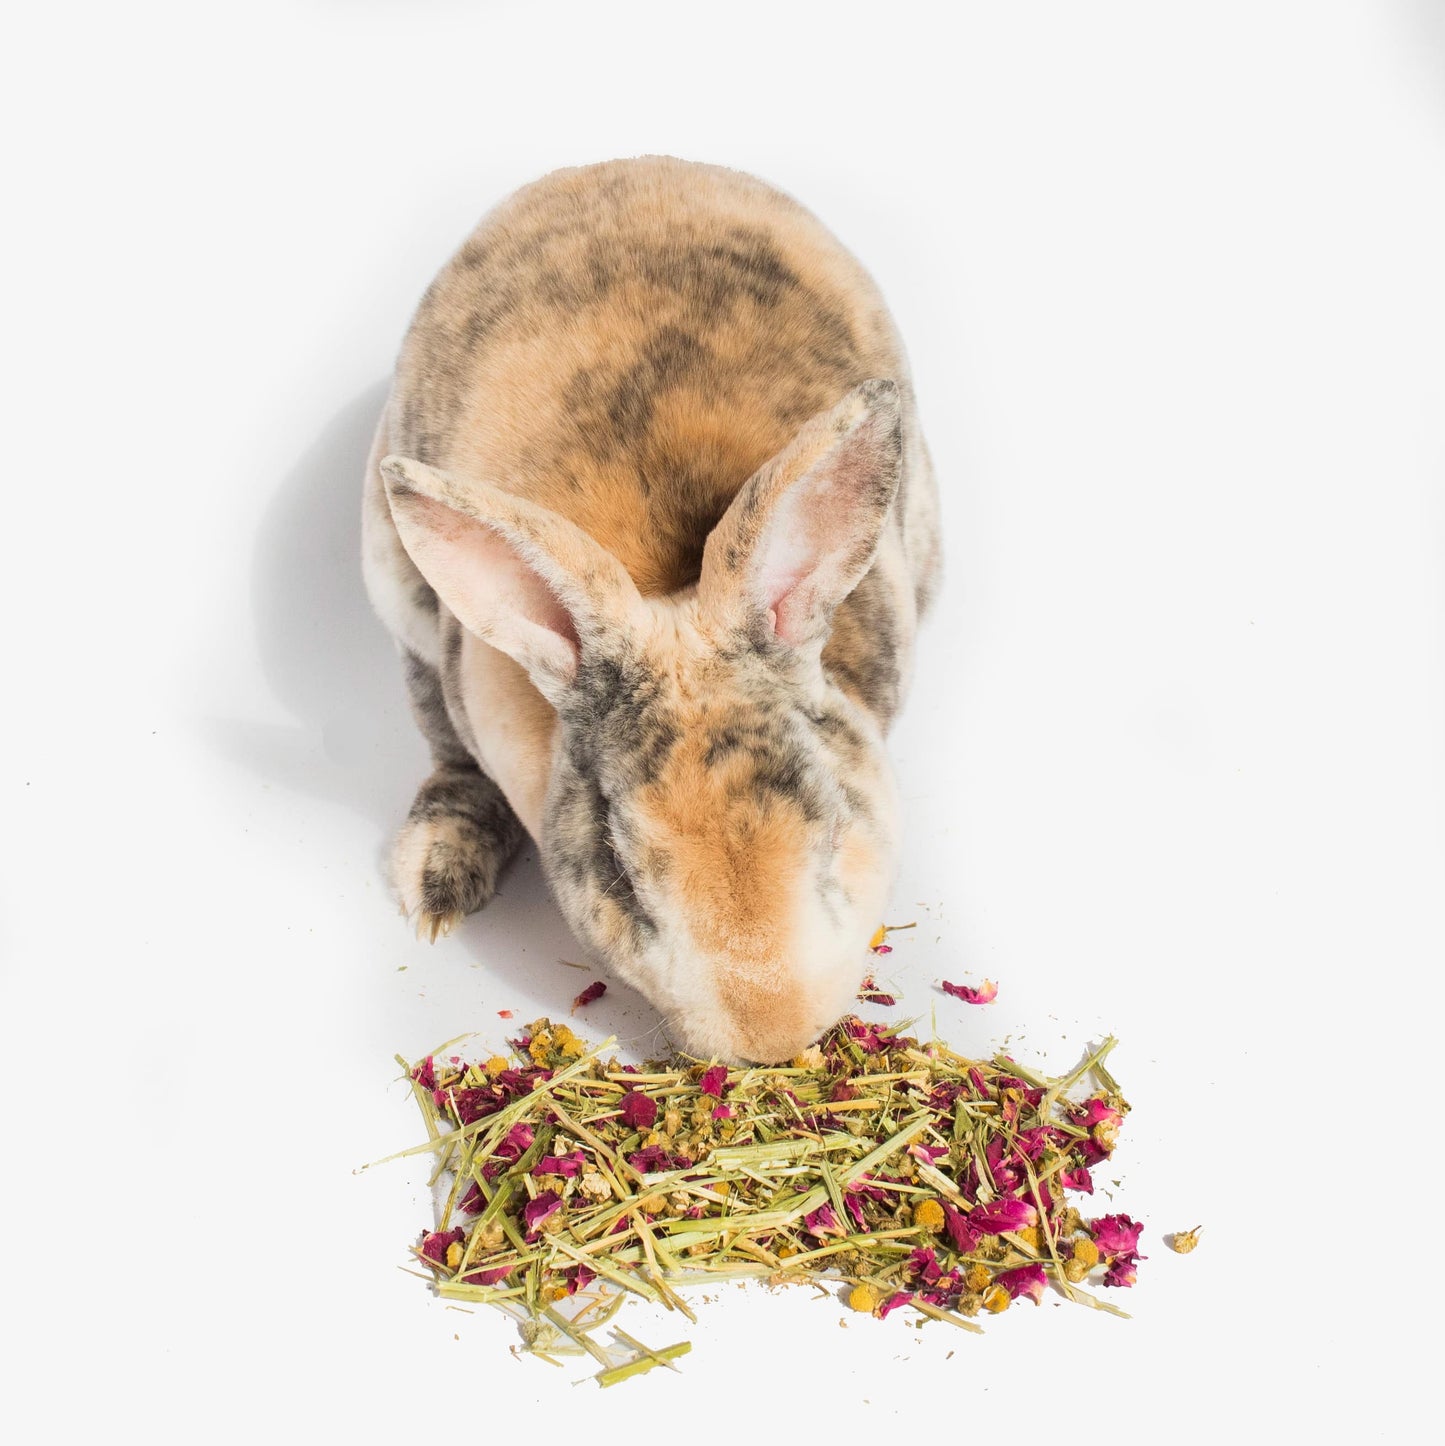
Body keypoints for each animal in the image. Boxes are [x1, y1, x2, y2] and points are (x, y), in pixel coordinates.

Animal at [362, 156, 941, 1064]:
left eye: (832, 823)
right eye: (621, 874)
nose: (773, 1034)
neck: (664, 585)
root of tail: (621, 166)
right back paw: (437, 877)